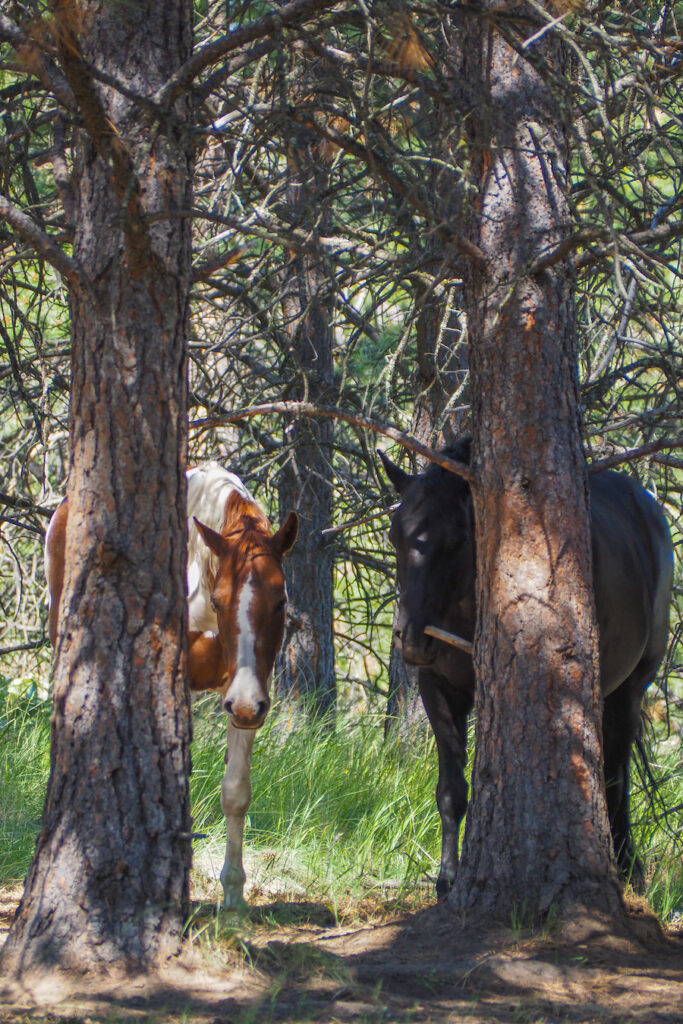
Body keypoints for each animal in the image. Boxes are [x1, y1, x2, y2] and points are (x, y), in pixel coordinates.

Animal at [45, 462, 298, 908]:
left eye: (280, 601)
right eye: (218, 601)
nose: (247, 704)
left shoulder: (243, 695)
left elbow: (236, 791)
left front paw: (233, 896)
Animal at [380, 437, 673, 898]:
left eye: (455, 539)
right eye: (395, 535)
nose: (410, 638)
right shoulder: (438, 686)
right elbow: (451, 791)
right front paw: (448, 878)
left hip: (630, 686)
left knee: (616, 776)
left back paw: (629, 867)